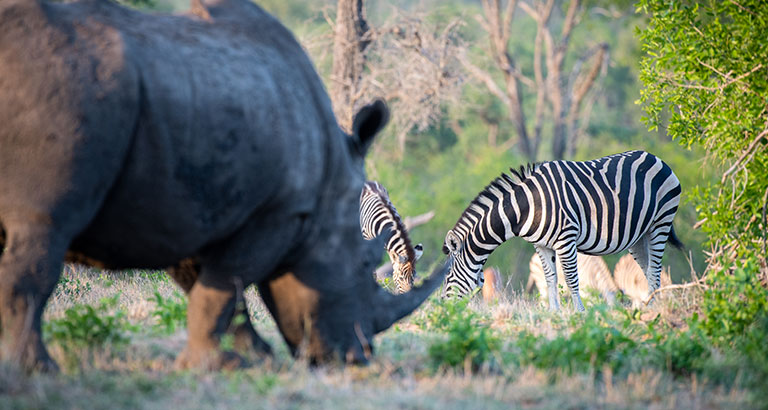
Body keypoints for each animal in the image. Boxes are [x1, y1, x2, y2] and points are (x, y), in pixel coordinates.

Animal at [440, 151, 680, 310]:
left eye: (447, 276)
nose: (443, 307)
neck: (526, 207)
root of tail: (655, 158)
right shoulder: (541, 245)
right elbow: (550, 279)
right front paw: (553, 313)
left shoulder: (566, 239)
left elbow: (572, 280)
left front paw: (580, 314)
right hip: (639, 236)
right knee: (648, 271)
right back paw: (650, 308)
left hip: (660, 222)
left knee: (655, 270)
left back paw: (654, 311)